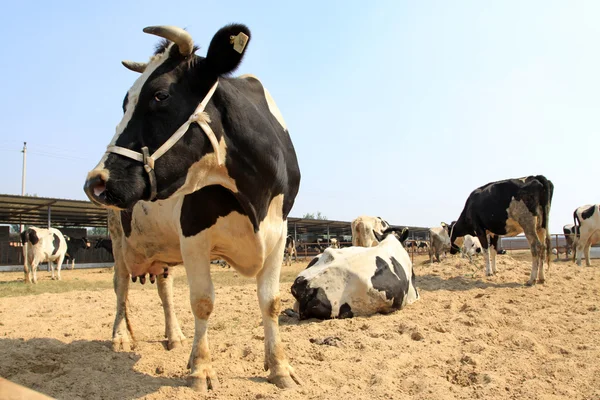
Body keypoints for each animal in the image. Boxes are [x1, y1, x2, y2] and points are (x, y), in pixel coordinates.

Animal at [82, 24, 302, 390]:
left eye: (160, 95)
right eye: (125, 102)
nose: (95, 181)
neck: (253, 197)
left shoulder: (279, 232)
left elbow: (270, 302)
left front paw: (280, 368)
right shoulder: (194, 234)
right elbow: (202, 302)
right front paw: (200, 369)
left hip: (162, 249)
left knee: (165, 289)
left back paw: (174, 336)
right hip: (117, 238)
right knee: (121, 284)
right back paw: (121, 336)